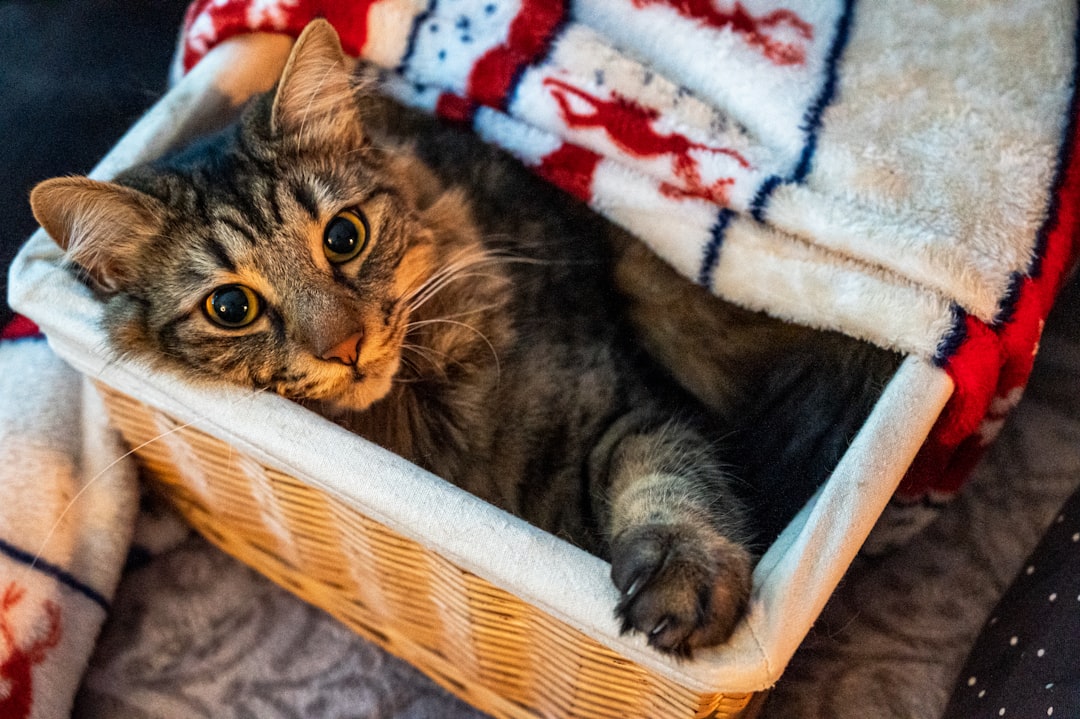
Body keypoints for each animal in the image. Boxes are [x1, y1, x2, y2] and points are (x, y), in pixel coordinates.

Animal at [27, 21, 902, 656]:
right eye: (232, 307)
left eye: (343, 237)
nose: (344, 346)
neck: (421, 415)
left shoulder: (626, 406)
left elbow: (671, 481)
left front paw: (682, 579)